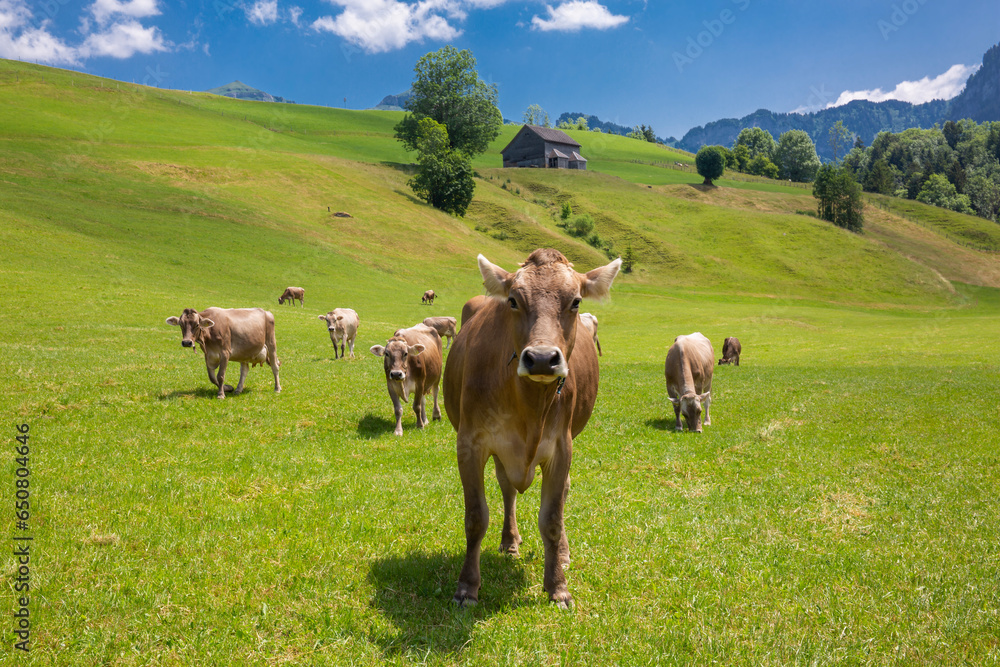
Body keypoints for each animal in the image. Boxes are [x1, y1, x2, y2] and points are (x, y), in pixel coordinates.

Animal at [444, 248, 622, 609]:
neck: (529, 405)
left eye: (576, 301)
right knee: (507, 489)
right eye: (513, 300)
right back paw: (510, 540)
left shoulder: (561, 447)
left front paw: (558, 586)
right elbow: (475, 517)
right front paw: (467, 586)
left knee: (562, 492)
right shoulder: (470, 443)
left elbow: (552, 518)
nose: (541, 358)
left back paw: (562, 554)